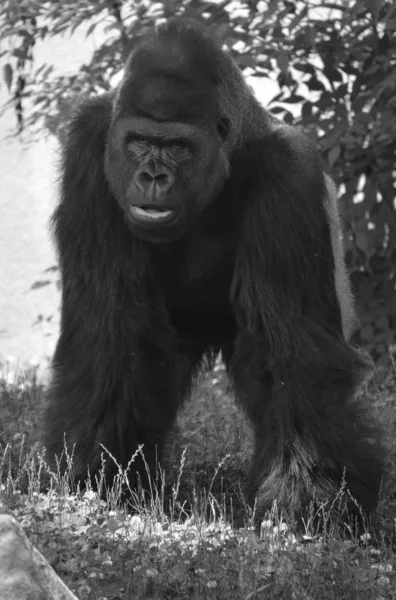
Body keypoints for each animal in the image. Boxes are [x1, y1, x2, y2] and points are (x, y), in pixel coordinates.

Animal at [43, 16, 384, 516]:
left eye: (178, 147)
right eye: (138, 142)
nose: (152, 176)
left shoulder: (289, 173)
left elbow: (292, 351)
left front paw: (310, 498)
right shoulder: (89, 147)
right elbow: (107, 331)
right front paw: (93, 474)